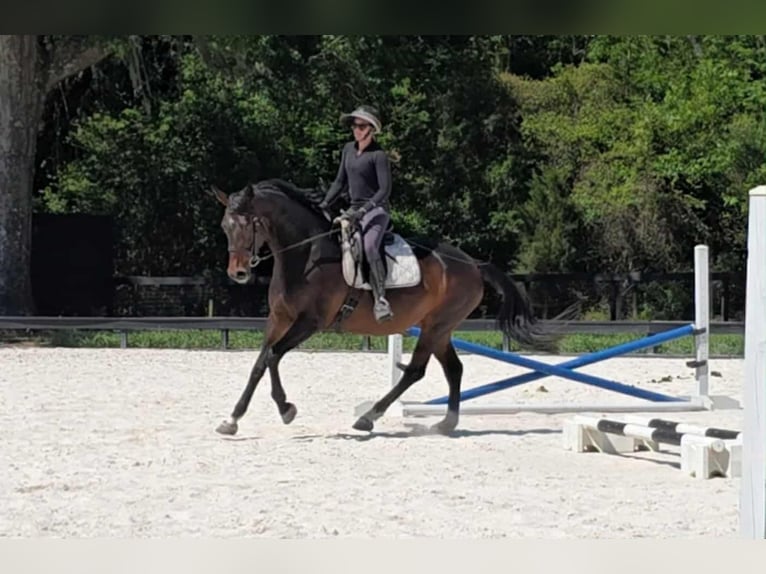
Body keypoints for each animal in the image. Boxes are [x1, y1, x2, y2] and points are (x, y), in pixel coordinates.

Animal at [210, 178, 558, 435]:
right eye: (225, 227)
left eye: (248, 224)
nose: (237, 273)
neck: (306, 255)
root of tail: (473, 264)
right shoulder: (279, 319)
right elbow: (260, 363)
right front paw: (232, 419)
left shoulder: (309, 322)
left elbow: (272, 357)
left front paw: (286, 409)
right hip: (439, 329)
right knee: (454, 369)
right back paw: (445, 423)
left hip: (436, 326)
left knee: (416, 370)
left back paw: (369, 417)